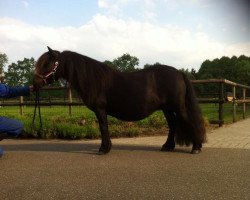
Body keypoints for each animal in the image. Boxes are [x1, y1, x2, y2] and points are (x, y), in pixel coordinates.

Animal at [32, 47, 205, 155]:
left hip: (178, 107)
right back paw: (167, 146)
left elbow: (103, 128)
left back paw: (196, 147)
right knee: (172, 125)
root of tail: (179, 72)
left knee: (189, 122)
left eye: (47, 64)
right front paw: (106, 147)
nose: (34, 84)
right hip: (167, 109)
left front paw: (103, 149)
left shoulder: (100, 110)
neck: (94, 79)